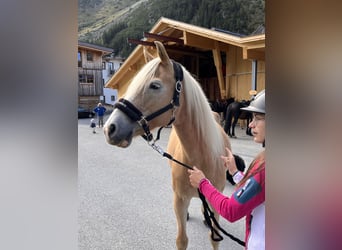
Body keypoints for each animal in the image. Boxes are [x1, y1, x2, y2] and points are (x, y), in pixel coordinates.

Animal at [103, 41, 232, 250]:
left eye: (155, 86)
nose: (110, 129)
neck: (202, 159)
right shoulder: (179, 200)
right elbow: (181, 240)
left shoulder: (217, 201)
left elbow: (214, 237)